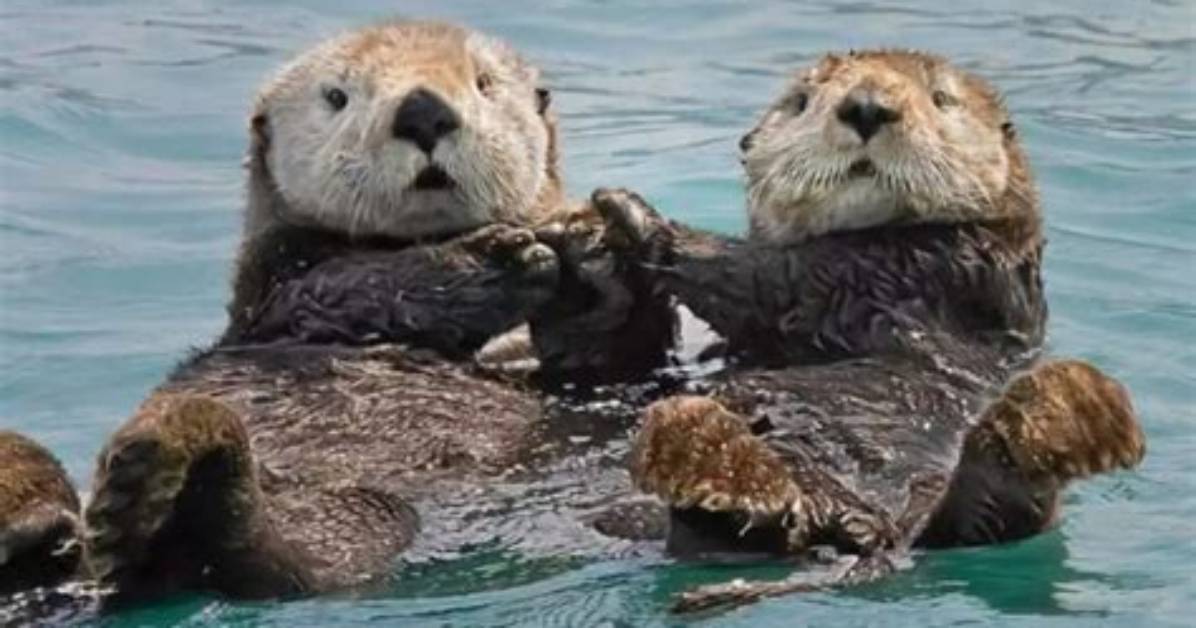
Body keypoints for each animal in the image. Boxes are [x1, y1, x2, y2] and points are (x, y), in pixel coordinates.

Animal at [0, 20, 673, 607]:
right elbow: (358, 289)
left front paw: (593, 252)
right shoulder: (280, 286)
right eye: (337, 96)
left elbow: (603, 351)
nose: (423, 111)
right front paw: (499, 261)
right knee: (277, 566)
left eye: (484, 82)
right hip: (343, 508)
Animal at [582, 50, 1145, 610]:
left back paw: (1059, 421)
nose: (868, 107)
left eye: (941, 98)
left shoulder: (914, 271)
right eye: (803, 100)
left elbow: (762, 278)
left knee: (996, 520)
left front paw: (631, 214)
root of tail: (869, 535)